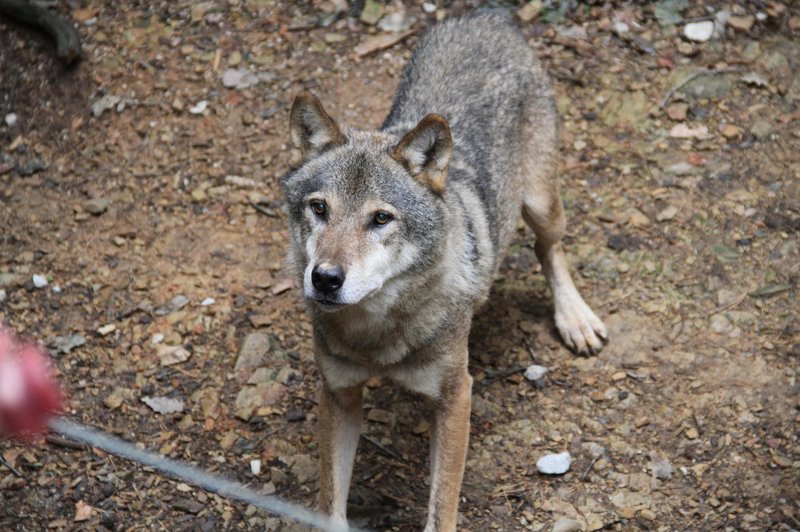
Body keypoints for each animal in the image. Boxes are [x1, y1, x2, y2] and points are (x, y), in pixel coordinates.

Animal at [282, 12, 608, 532]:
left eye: (381, 219)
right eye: (319, 208)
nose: (325, 278)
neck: (379, 335)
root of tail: (486, 15)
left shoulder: (456, 398)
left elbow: (441, 508)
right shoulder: (338, 394)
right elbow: (330, 505)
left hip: (540, 205)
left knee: (550, 249)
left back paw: (575, 319)